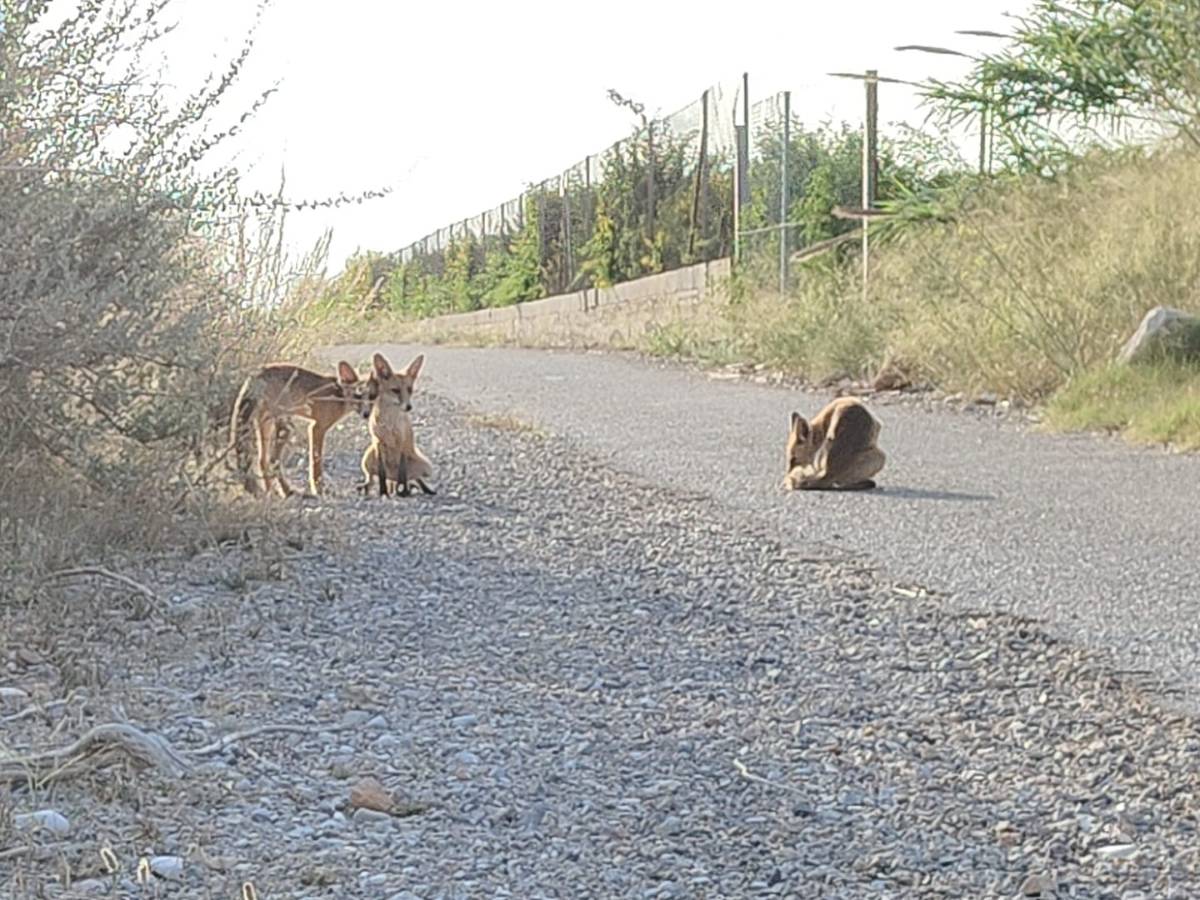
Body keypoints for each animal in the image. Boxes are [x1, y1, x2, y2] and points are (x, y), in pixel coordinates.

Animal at [229, 362, 367, 501]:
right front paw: (319, 490)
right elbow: (316, 463)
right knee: (273, 461)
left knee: (263, 460)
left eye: (371, 398)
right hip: (286, 427)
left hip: (268, 426)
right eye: (357, 396)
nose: (366, 414)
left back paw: (273, 492)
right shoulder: (317, 428)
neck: (338, 395)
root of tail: (257, 375)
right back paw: (284, 492)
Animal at [357, 350, 439, 501]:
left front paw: (402, 492)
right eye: (395, 390)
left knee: (412, 479)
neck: (389, 424)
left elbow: (403, 472)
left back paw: (410, 489)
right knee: (373, 478)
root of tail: (392, 477)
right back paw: (370, 487)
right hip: (367, 458)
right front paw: (383, 493)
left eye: (410, 389)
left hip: (426, 466)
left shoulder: (401, 443)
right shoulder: (378, 443)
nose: (408, 407)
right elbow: (381, 474)